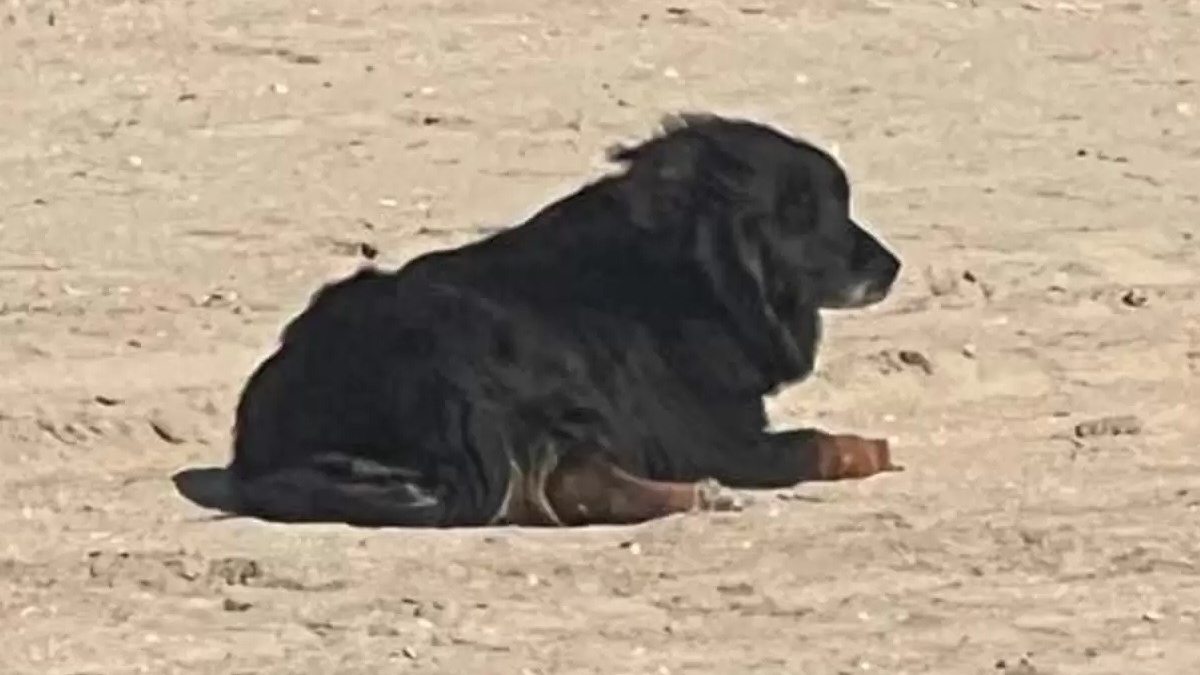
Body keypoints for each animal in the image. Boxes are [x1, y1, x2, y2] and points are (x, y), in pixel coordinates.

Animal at [216, 112, 902, 528]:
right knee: (569, 482)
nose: (891, 267)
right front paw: (863, 448)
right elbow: (810, 444)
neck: (684, 270)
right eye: (802, 213)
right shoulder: (713, 437)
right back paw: (697, 493)